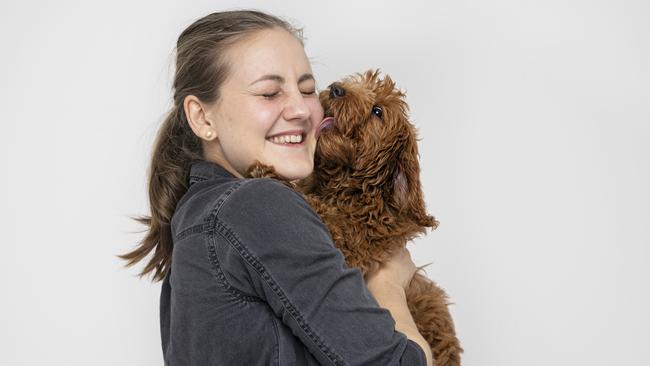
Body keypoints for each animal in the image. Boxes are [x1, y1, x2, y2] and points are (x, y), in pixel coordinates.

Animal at [244, 69, 460, 366]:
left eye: (377, 111)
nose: (336, 89)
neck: (348, 189)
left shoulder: (353, 247)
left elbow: (322, 211)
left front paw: (269, 173)